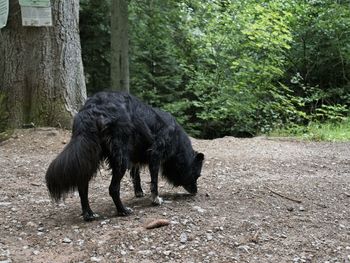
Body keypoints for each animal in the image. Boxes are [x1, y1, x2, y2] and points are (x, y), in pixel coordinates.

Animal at [46, 92, 205, 222]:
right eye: (196, 176)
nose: (196, 192)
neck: (177, 141)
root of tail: (92, 107)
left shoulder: (136, 157)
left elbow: (136, 175)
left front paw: (139, 192)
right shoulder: (155, 154)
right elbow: (154, 181)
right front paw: (156, 200)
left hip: (91, 154)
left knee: (82, 184)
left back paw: (88, 214)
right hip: (120, 158)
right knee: (113, 188)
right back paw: (122, 210)